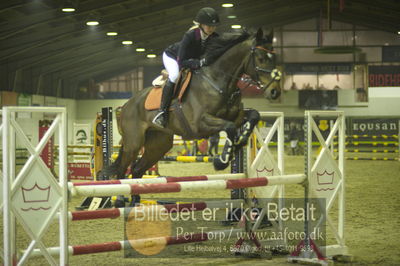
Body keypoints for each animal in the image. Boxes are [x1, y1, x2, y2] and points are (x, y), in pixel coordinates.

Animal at [99, 28, 282, 183]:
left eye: (275, 58)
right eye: (260, 59)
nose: (275, 92)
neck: (217, 81)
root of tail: (126, 105)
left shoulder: (235, 115)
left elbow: (253, 115)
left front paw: (240, 141)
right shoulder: (200, 123)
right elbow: (229, 127)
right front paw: (222, 161)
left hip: (159, 143)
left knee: (137, 170)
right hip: (134, 142)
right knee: (122, 171)